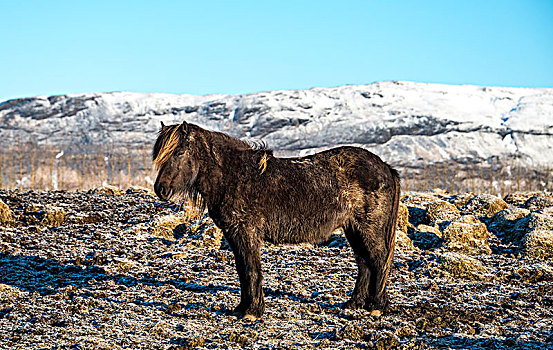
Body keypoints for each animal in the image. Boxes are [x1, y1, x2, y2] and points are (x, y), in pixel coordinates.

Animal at [153, 121, 398, 320]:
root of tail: (385, 167)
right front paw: (242, 308)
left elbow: (251, 269)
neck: (235, 176)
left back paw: (376, 306)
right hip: (353, 229)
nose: (160, 189)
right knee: (364, 263)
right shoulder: (234, 235)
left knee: (378, 261)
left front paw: (253, 311)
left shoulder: (247, 233)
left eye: (179, 152)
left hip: (369, 229)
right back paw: (354, 304)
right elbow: (242, 270)